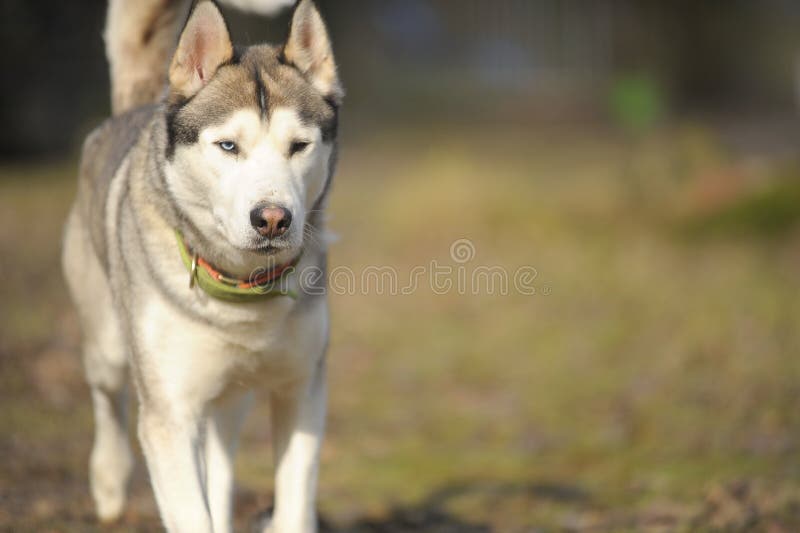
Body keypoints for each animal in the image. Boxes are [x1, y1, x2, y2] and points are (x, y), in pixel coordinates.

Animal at [59, 2, 340, 528]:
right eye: (228, 146)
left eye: (299, 146)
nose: (273, 219)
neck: (240, 294)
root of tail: (136, 107)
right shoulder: (169, 415)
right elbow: (192, 514)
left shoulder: (300, 390)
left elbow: (293, 505)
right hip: (109, 345)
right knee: (107, 398)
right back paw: (108, 481)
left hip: (228, 397)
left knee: (221, 464)